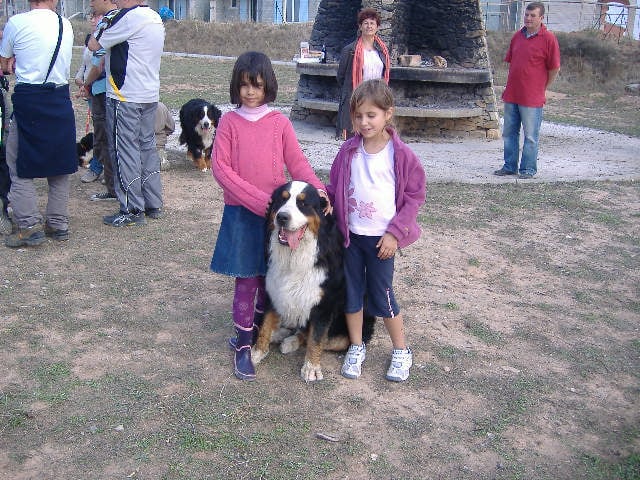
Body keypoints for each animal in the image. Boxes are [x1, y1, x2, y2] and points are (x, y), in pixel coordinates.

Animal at [252, 181, 375, 382]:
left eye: (303, 204)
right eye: (281, 200)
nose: (282, 217)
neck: (294, 255)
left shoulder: (324, 304)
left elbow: (316, 338)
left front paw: (311, 367)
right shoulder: (273, 289)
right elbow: (265, 325)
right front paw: (256, 352)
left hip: (350, 329)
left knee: (319, 337)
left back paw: (289, 341)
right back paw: (280, 334)